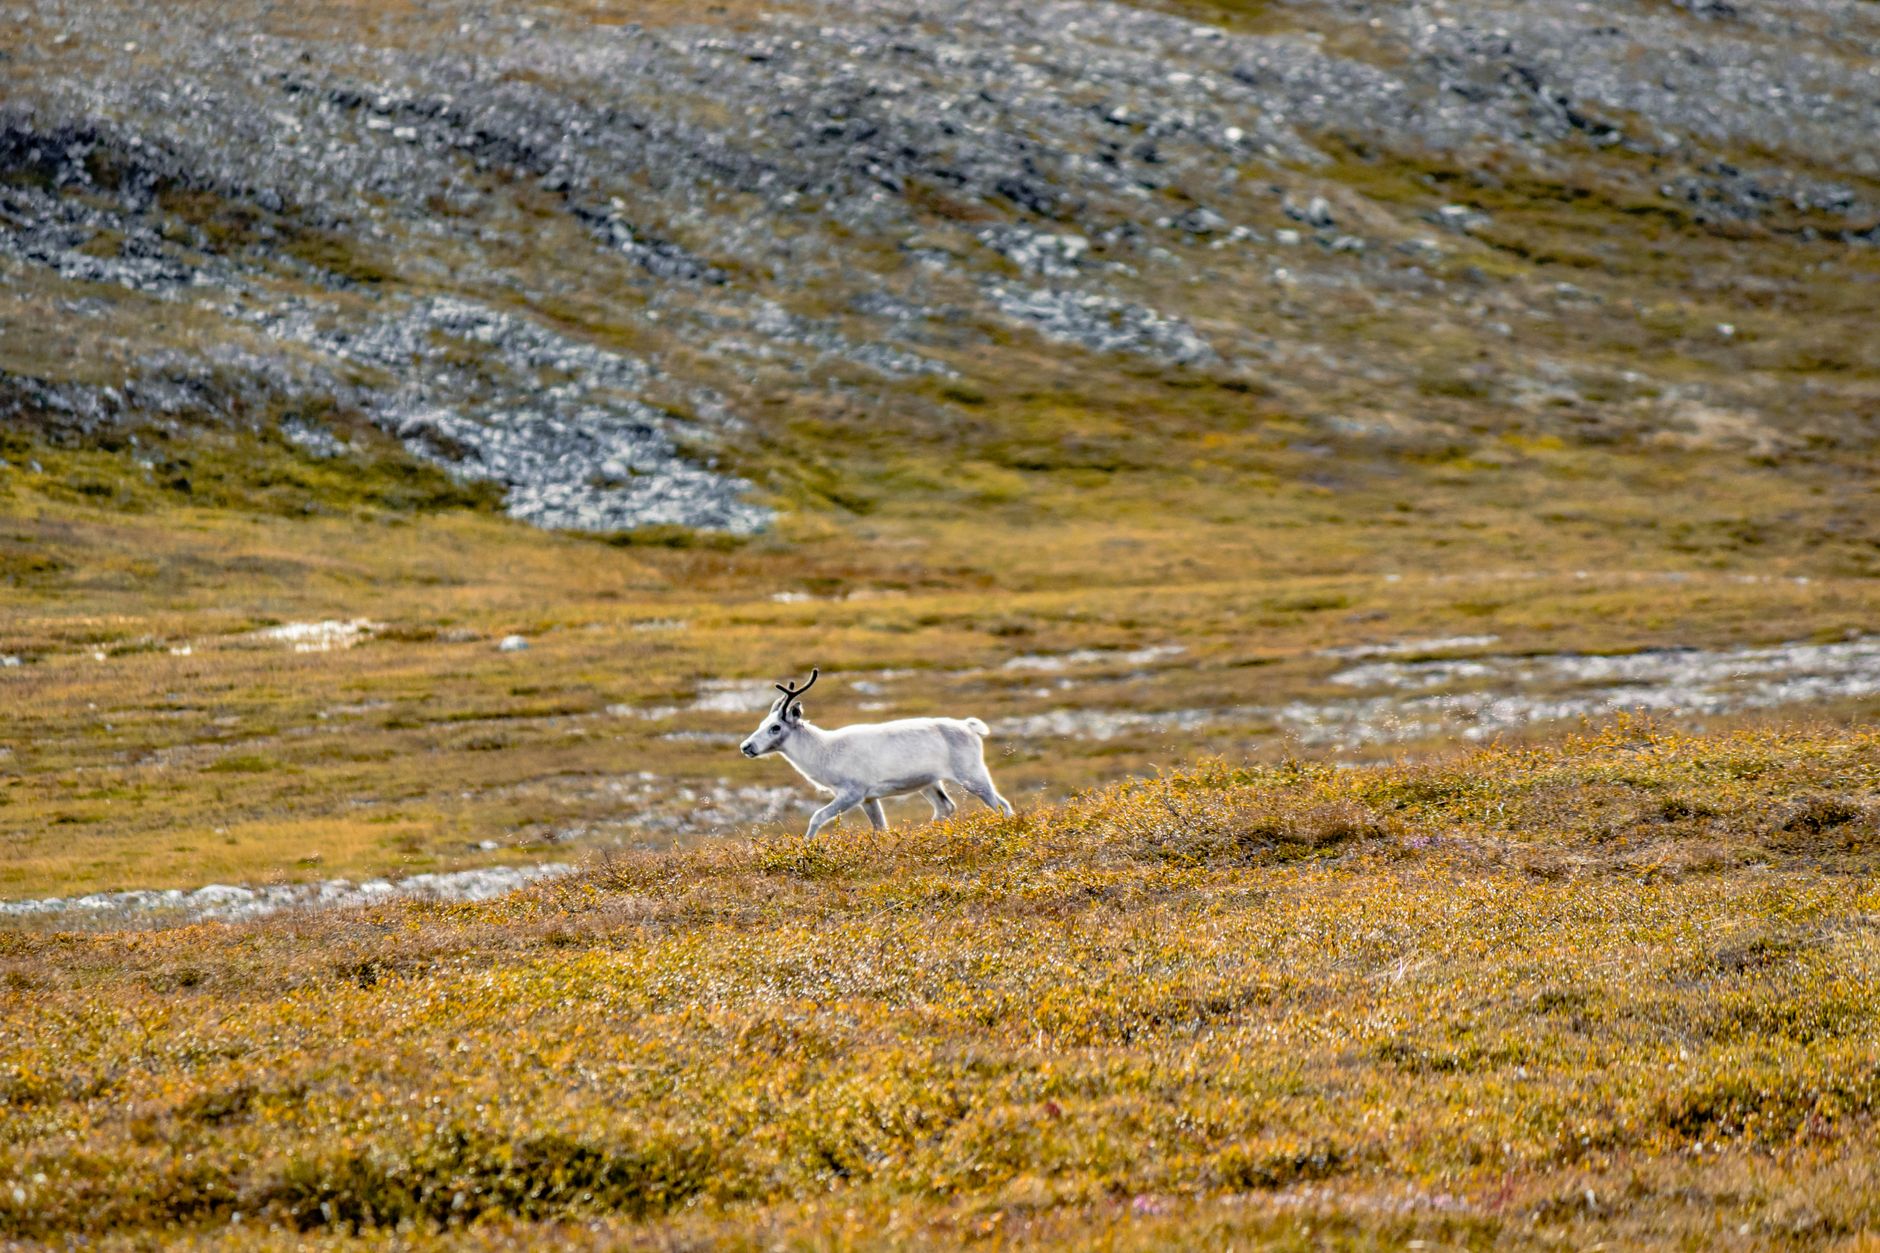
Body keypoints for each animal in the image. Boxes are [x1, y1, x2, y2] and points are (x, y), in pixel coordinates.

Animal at [739, 668, 1015, 838]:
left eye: (775, 727)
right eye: (762, 722)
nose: (746, 747)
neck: (823, 752)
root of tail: (971, 727)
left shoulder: (853, 792)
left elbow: (816, 816)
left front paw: (806, 846)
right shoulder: (870, 798)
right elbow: (880, 828)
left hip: (972, 774)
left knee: (1001, 805)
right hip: (929, 783)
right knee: (946, 806)